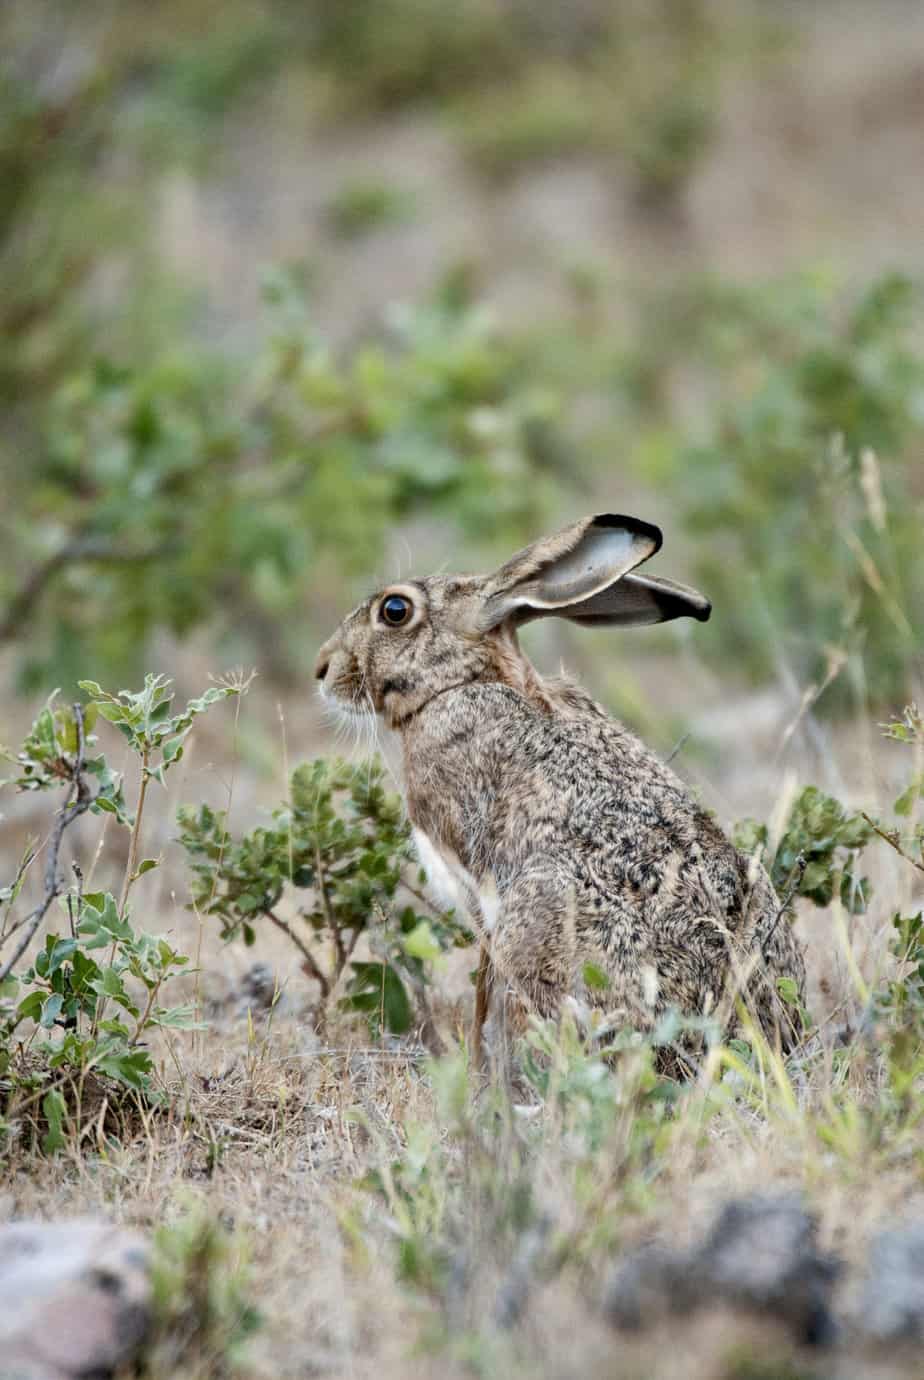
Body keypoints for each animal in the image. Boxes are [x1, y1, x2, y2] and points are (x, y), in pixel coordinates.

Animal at [314, 518, 805, 1065]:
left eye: (395, 610)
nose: (323, 668)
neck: (460, 683)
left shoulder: (475, 883)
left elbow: (483, 980)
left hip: (542, 924)